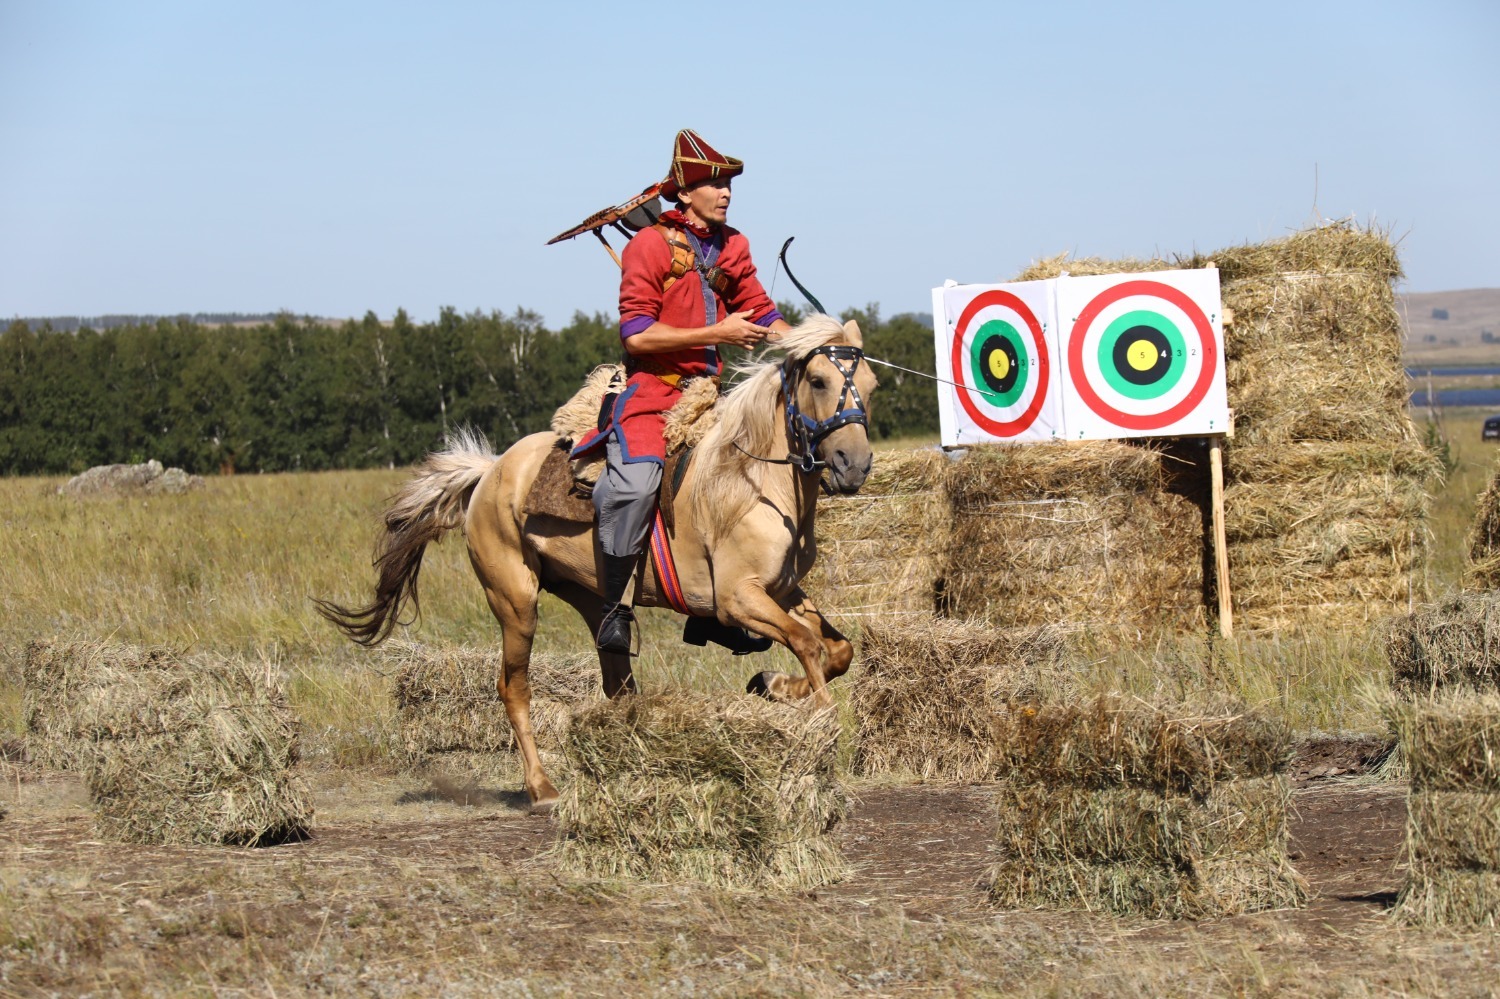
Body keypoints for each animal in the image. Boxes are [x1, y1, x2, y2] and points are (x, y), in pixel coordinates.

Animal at [315, 314, 879, 811]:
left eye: (871, 385)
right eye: (819, 380)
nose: (854, 465)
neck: (752, 480)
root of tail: (490, 471)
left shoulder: (783, 592)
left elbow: (839, 650)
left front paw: (773, 686)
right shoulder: (737, 600)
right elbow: (807, 643)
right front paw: (818, 721)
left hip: (595, 601)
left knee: (617, 683)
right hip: (515, 602)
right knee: (513, 687)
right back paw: (542, 788)